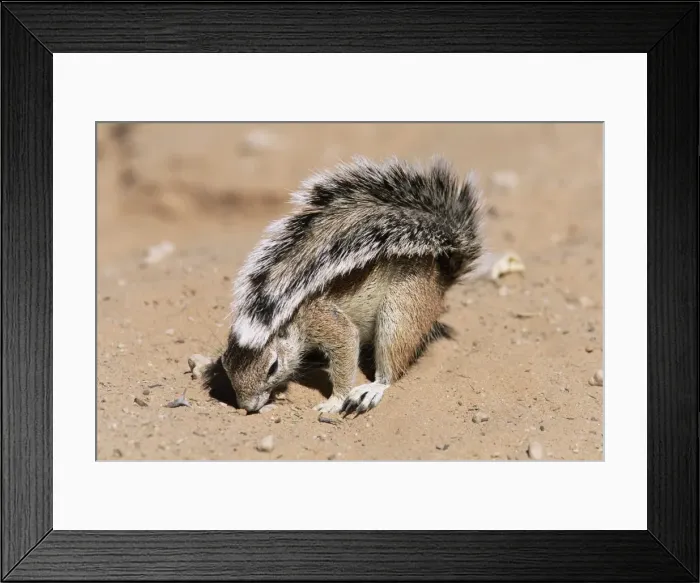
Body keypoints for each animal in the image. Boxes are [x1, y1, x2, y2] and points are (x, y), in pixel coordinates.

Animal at [203, 155, 485, 415]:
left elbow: (347, 346)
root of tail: (441, 277)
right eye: (225, 364)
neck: (286, 315)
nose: (247, 407)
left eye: (273, 367)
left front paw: (335, 401)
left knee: (391, 365)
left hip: (402, 308)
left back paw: (371, 389)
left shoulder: (325, 320)